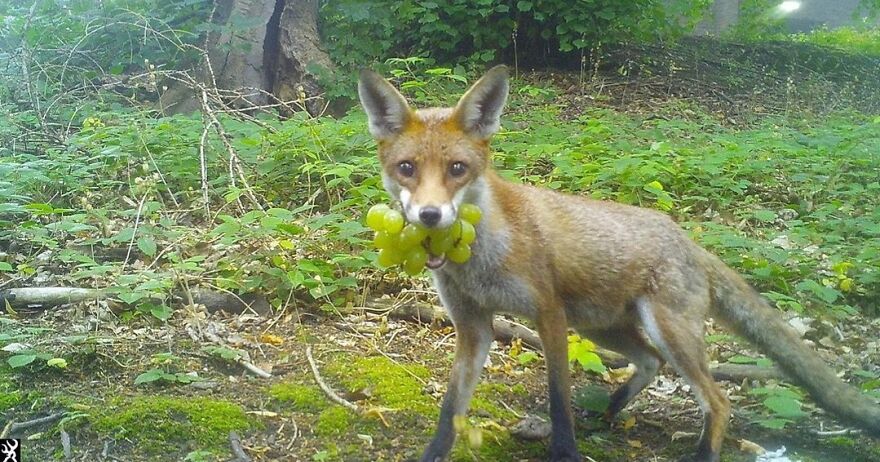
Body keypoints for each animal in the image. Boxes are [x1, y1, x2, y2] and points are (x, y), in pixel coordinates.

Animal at [357, 65, 880, 462]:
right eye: (407, 168)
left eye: (457, 170)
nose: (429, 215)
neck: (481, 258)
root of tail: (687, 239)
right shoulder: (474, 327)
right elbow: (451, 409)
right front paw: (434, 453)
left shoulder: (548, 314)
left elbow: (559, 400)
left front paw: (565, 453)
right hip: (601, 327)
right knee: (649, 362)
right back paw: (613, 408)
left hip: (663, 331)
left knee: (718, 398)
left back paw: (701, 451)